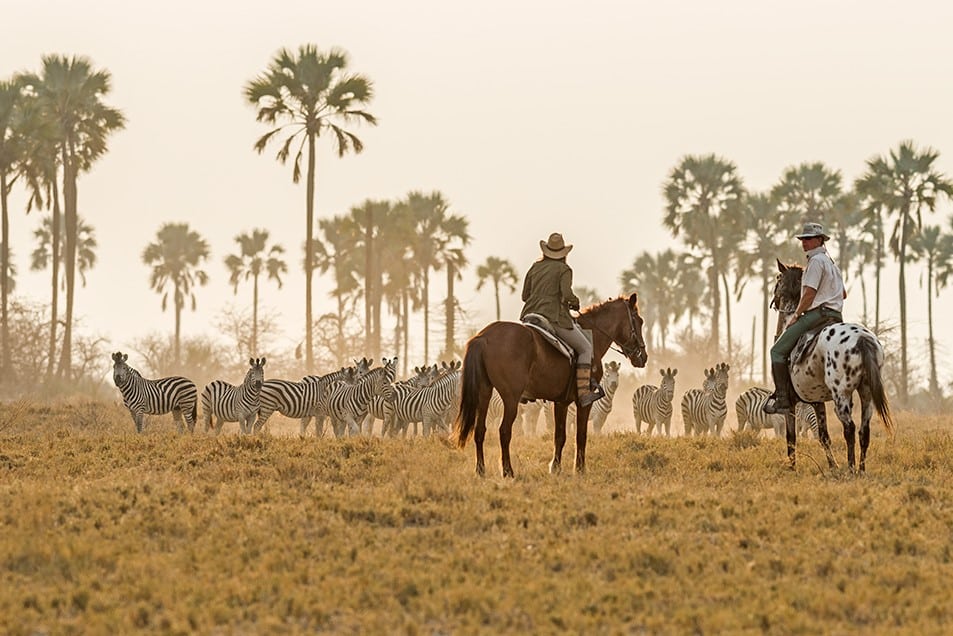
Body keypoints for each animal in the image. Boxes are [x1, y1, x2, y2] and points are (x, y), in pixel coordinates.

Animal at [454, 294, 648, 476]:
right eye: (639, 321)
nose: (643, 357)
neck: (592, 336)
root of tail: (484, 337)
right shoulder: (584, 403)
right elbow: (581, 434)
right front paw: (580, 469)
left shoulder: (561, 402)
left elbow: (559, 436)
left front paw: (555, 467)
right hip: (511, 399)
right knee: (504, 431)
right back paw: (508, 471)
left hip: (484, 393)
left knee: (479, 430)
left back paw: (480, 470)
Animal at [772, 258, 892, 472]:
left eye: (778, 278)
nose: (775, 299)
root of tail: (862, 339)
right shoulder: (817, 400)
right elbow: (824, 436)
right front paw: (832, 466)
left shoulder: (791, 405)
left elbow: (791, 438)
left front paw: (792, 467)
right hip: (866, 392)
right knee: (864, 431)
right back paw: (861, 469)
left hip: (841, 396)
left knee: (850, 428)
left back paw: (851, 469)